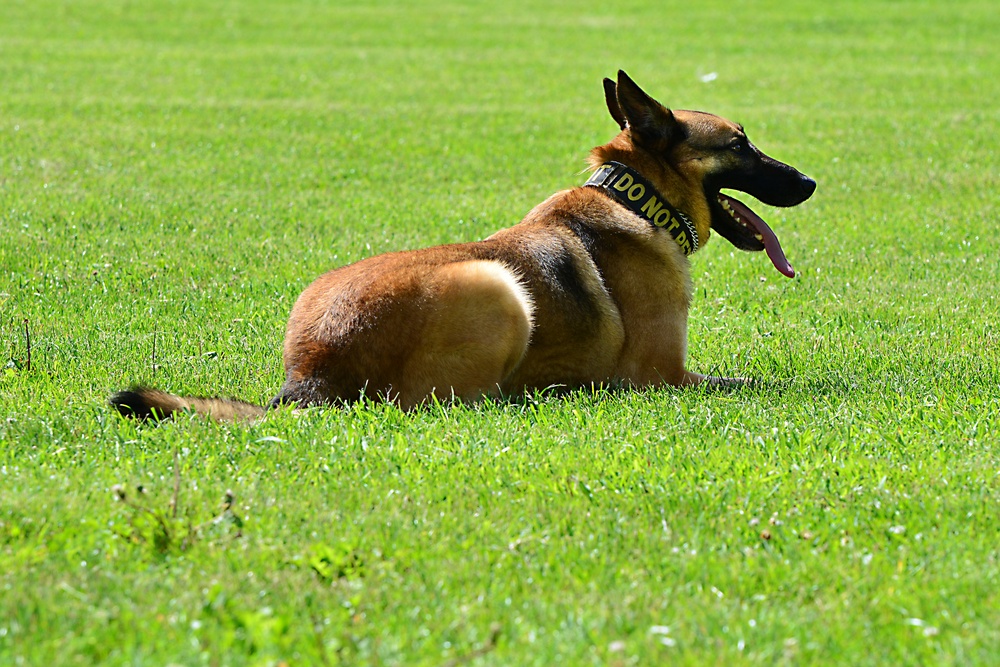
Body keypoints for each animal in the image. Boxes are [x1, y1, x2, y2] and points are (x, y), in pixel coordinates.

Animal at [109, 70, 816, 420]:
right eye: (741, 143)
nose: (809, 182)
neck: (634, 198)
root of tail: (311, 377)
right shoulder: (663, 376)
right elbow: (756, 381)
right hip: (497, 285)